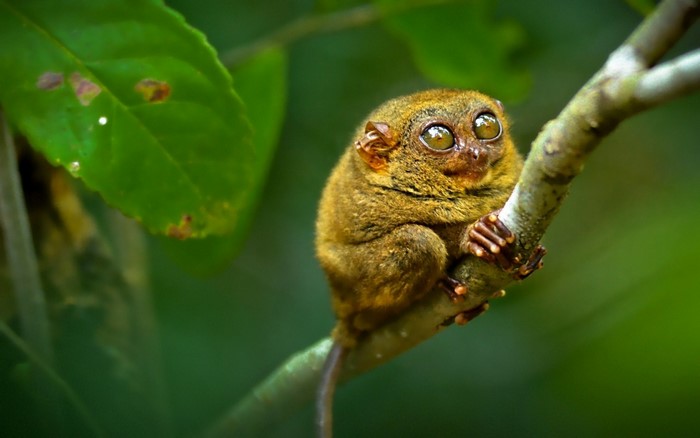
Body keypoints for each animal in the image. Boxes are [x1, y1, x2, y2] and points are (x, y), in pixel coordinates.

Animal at [314, 89, 546, 437]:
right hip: (351, 281)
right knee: (418, 240)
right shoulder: (373, 203)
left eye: (486, 127)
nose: (476, 152)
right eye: (439, 138)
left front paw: (526, 260)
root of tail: (343, 318)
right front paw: (475, 234)